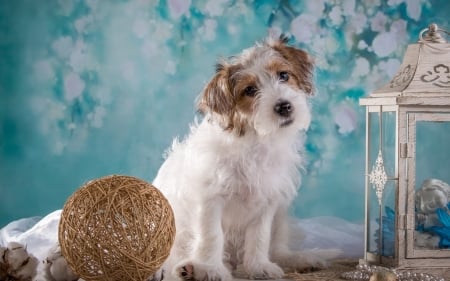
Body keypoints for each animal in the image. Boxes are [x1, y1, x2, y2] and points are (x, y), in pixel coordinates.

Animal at [153, 35, 340, 280]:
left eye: (284, 75)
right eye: (250, 90)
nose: (284, 106)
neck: (255, 140)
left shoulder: (267, 201)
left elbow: (259, 238)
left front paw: (259, 266)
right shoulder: (210, 199)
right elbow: (211, 236)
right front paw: (210, 269)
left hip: (281, 217)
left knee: (278, 249)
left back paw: (301, 259)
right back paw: (189, 268)